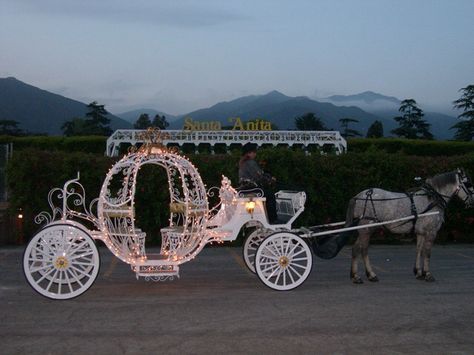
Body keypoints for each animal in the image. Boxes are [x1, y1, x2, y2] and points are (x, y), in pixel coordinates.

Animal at [344, 169, 474, 284]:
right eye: (468, 184)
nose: (473, 202)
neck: (432, 199)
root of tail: (359, 196)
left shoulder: (421, 232)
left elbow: (419, 250)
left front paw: (418, 272)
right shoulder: (431, 232)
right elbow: (427, 252)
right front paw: (428, 274)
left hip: (363, 230)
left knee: (356, 249)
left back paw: (356, 275)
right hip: (366, 229)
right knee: (363, 250)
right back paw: (368, 275)